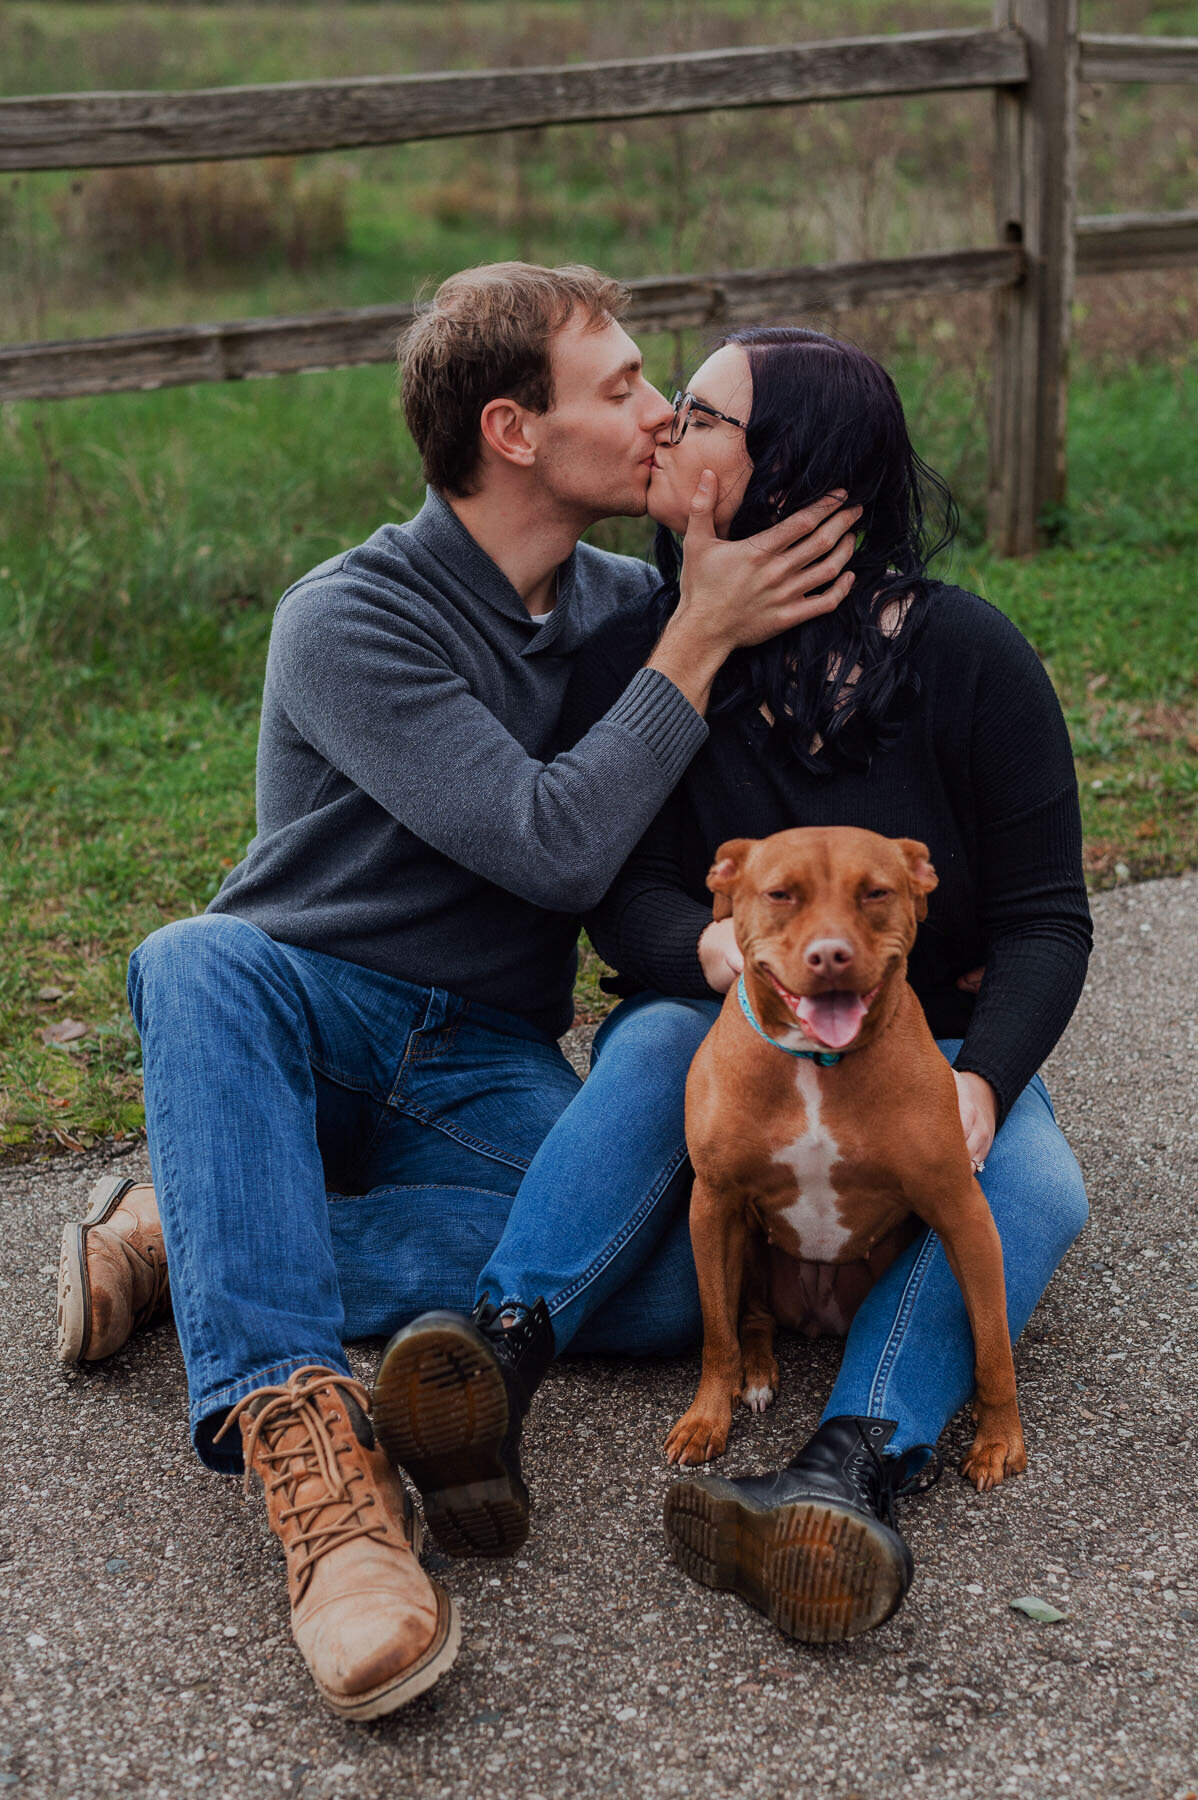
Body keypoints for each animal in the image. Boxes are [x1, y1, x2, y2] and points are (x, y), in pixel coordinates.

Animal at [665, 824, 1021, 1490]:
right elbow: (716, 1334)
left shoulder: (961, 1209)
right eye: (780, 894)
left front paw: (1001, 1439)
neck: (816, 1062)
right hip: (747, 1242)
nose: (830, 955)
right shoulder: (714, 1203)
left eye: (875, 892)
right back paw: (756, 1375)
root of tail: (817, 1316)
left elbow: (993, 1345)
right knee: (751, 1318)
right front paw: (706, 1420)